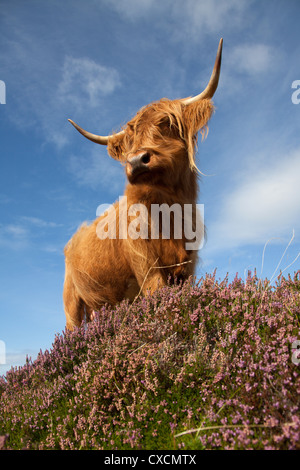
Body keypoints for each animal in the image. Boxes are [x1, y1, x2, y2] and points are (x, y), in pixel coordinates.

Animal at [63, 38, 223, 330]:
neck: (170, 211)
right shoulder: (146, 267)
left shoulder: (188, 268)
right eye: (130, 140)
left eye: (167, 122)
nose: (136, 161)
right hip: (71, 302)